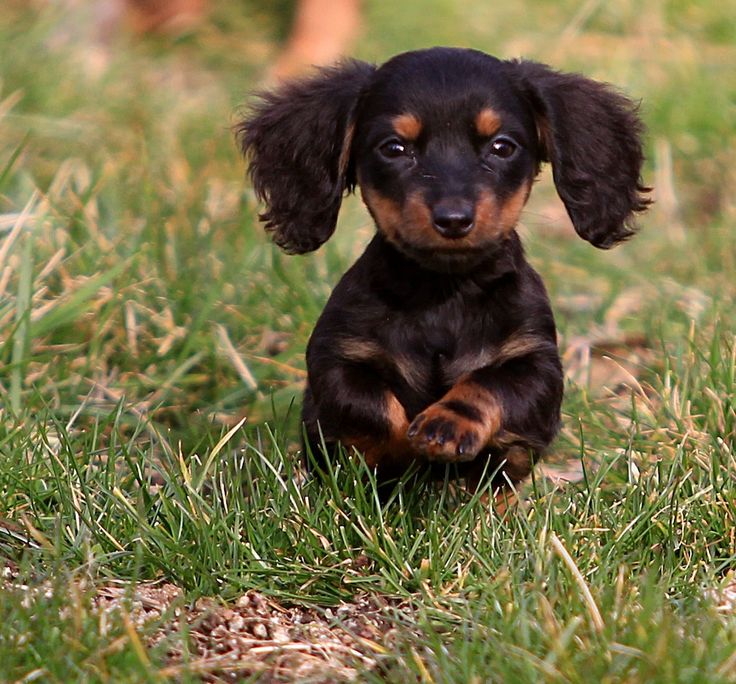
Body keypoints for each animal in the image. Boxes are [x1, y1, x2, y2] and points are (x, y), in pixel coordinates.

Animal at [237, 48, 648, 492]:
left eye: (502, 146)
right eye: (394, 148)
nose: (453, 219)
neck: (443, 292)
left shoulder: (537, 365)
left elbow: (489, 384)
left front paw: (446, 426)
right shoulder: (336, 361)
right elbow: (373, 407)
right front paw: (405, 453)